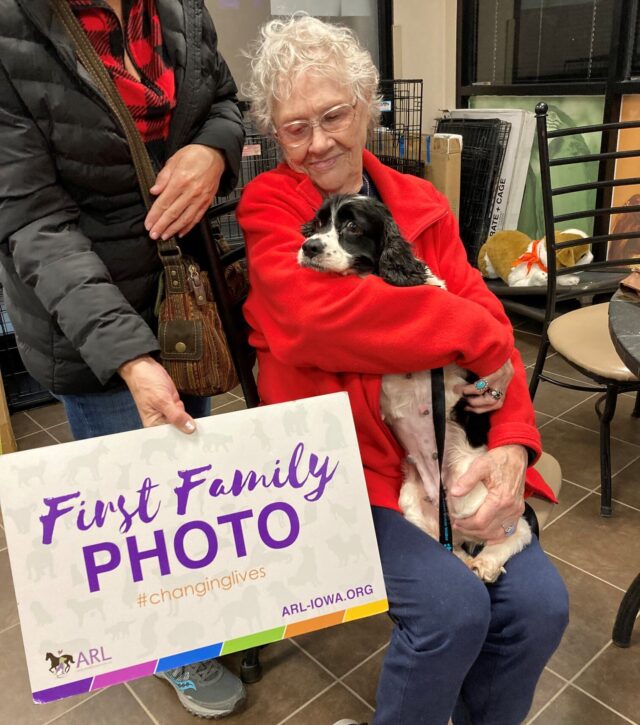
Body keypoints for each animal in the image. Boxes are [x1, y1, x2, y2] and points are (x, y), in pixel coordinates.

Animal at [300, 194, 528, 584]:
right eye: (316, 225)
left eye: (353, 227)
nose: (309, 247)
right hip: (413, 503)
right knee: (449, 547)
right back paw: (467, 560)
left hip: (477, 498)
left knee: (515, 533)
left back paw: (486, 563)